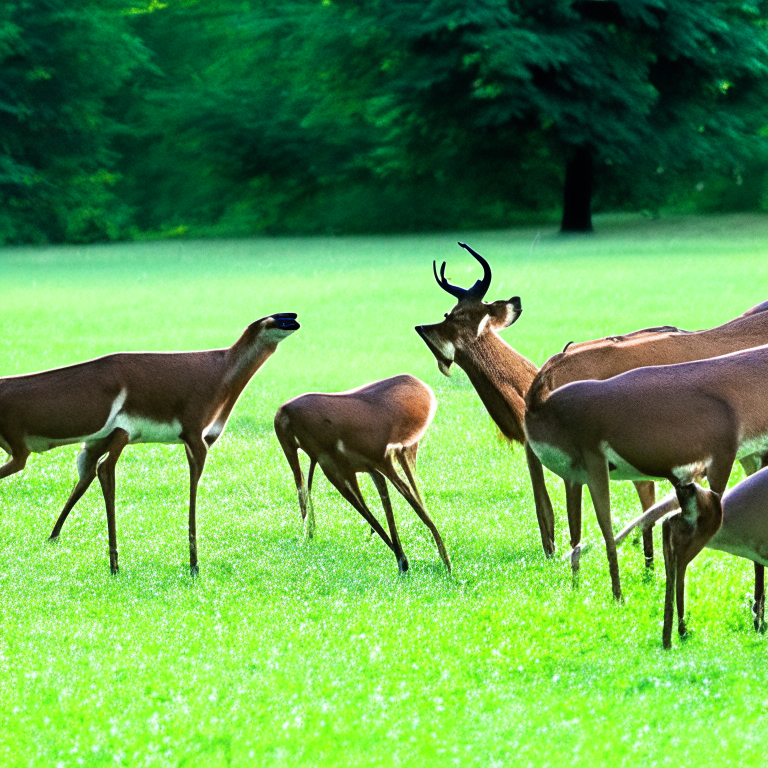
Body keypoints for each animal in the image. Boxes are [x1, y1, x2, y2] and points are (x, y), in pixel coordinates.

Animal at [0, 308, 300, 572]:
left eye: (288, 316)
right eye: (279, 319)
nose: (295, 320)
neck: (223, 369)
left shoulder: (121, 439)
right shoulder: (195, 438)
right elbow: (192, 491)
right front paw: (194, 565)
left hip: (103, 441)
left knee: (91, 472)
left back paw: (63, 543)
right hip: (83, 443)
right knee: (101, 470)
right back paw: (114, 565)